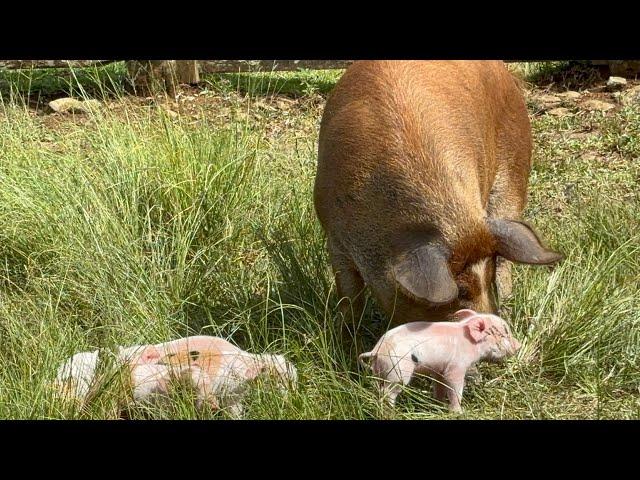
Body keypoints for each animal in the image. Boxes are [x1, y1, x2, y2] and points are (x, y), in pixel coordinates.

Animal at [312, 60, 564, 334]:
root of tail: (505, 72)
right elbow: (349, 298)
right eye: (460, 291)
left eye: (487, 279)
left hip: (515, 172)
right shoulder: (334, 235)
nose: (493, 327)